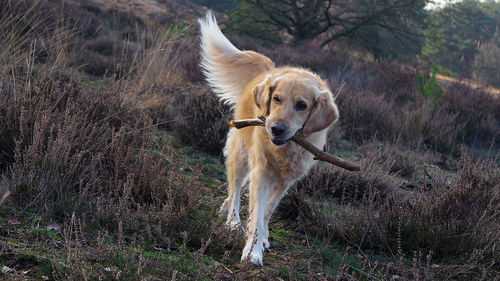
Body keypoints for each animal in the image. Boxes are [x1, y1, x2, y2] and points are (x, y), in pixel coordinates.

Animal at [197, 10, 338, 264]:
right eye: (276, 99)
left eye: (302, 105)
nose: (276, 129)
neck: (285, 150)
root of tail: (266, 70)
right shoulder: (262, 172)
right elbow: (257, 211)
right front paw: (252, 250)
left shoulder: (286, 181)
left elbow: (267, 211)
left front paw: (262, 237)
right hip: (241, 154)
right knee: (235, 188)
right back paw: (232, 221)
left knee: (240, 188)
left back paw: (226, 209)